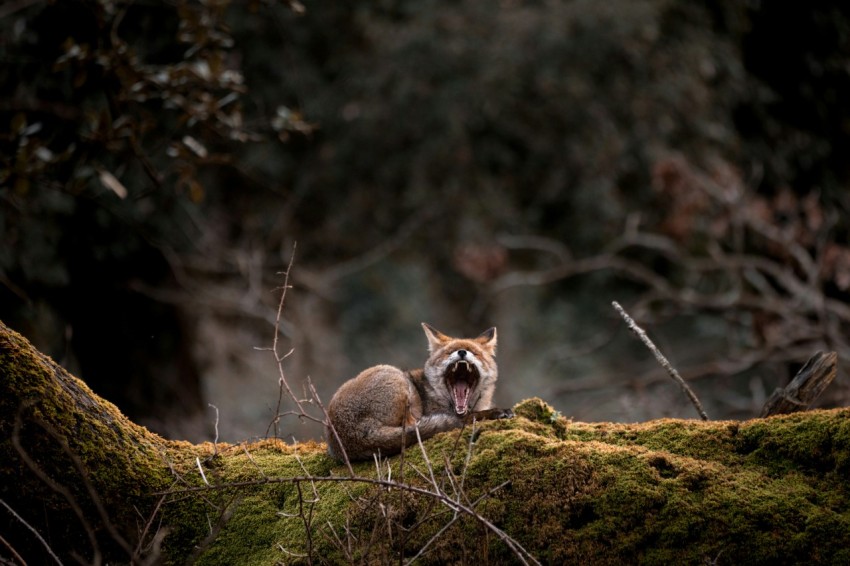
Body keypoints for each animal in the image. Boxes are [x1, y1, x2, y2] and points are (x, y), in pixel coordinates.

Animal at [326, 323, 513, 461]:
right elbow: (471, 416)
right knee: (412, 427)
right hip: (397, 378)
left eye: (475, 353)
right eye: (449, 353)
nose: (462, 352)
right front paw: (496, 412)